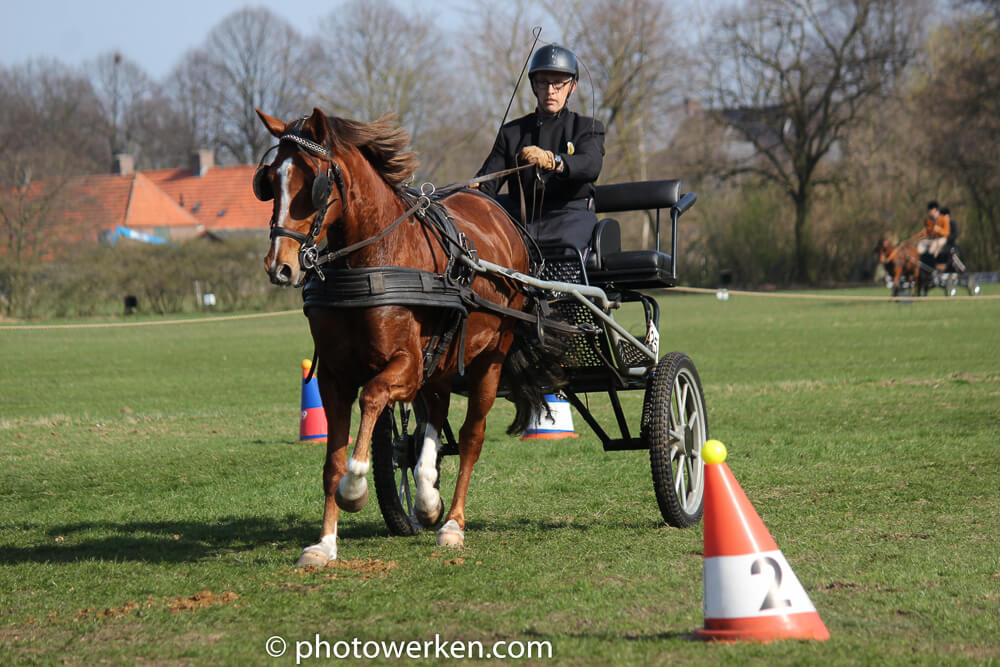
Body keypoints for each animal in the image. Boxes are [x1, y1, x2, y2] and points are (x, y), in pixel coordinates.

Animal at [252, 108, 564, 564]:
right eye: (270, 179)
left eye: (315, 182)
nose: (281, 266)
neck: (374, 262)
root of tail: (500, 214)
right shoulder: (333, 375)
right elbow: (333, 459)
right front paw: (325, 544)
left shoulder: (405, 364)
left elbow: (372, 398)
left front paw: (355, 488)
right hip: (441, 358)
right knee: (432, 417)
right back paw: (427, 499)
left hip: (488, 360)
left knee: (470, 437)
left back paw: (452, 523)